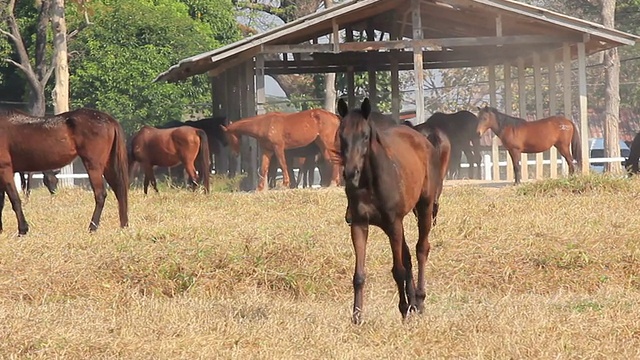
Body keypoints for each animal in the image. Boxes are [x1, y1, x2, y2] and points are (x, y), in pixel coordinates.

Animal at [0, 107, 130, 236]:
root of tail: (109, 119)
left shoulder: (5, 169)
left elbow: (14, 199)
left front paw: (22, 230)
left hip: (94, 166)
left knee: (100, 195)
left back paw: (92, 228)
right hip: (108, 165)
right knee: (119, 191)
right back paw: (124, 226)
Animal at [338, 97, 448, 324]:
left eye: (365, 136)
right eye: (341, 135)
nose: (351, 173)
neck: (370, 182)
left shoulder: (392, 224)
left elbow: (398, 270)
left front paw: (403, 309)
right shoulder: (359, 224)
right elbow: (359, 275)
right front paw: (357, 317)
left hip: (423, 208)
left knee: (421, 249)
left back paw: (419, 300)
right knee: (407, 256)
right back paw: (414, 300)